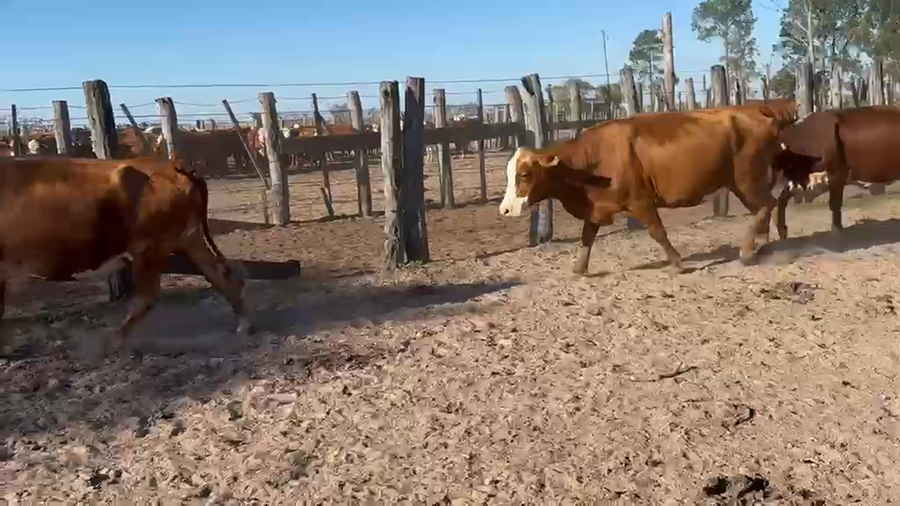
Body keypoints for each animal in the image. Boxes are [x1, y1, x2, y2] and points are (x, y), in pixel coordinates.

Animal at [0, 153, 251, 350]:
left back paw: (117, 339)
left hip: (152, 248)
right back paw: (244, 324)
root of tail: (174, 166)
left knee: (147, 296)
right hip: (188, 239)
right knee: (219, 276)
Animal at [498, 107, 788, 274]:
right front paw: (579, 268)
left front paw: (677, 263)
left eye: (524, 174)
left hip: (747, 180)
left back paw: (748, 250)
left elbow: (657, 232)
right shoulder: (596, 209)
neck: (593, 160)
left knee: (768, 204)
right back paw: (763, 243)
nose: (505, 209)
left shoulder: (641, 202)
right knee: (765, 208)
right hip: (741, 184)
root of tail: (761, 114)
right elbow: (586, 239)